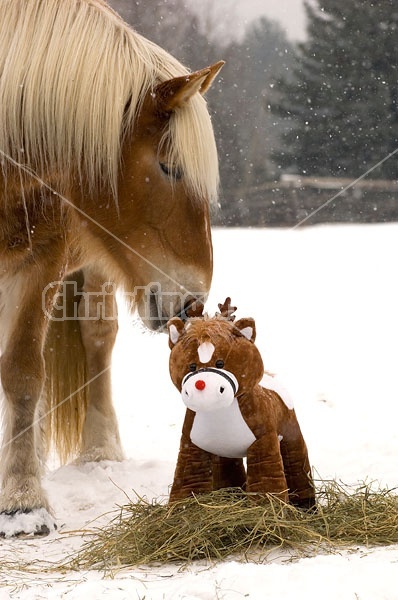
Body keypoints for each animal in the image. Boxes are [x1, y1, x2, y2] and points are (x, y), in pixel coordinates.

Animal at [0, 0, 224, 536]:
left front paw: (22, 503)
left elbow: (22, 372)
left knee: (96, 339)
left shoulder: (40, 262)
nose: (193, 301)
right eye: (169, 167)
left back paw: (97, 451)